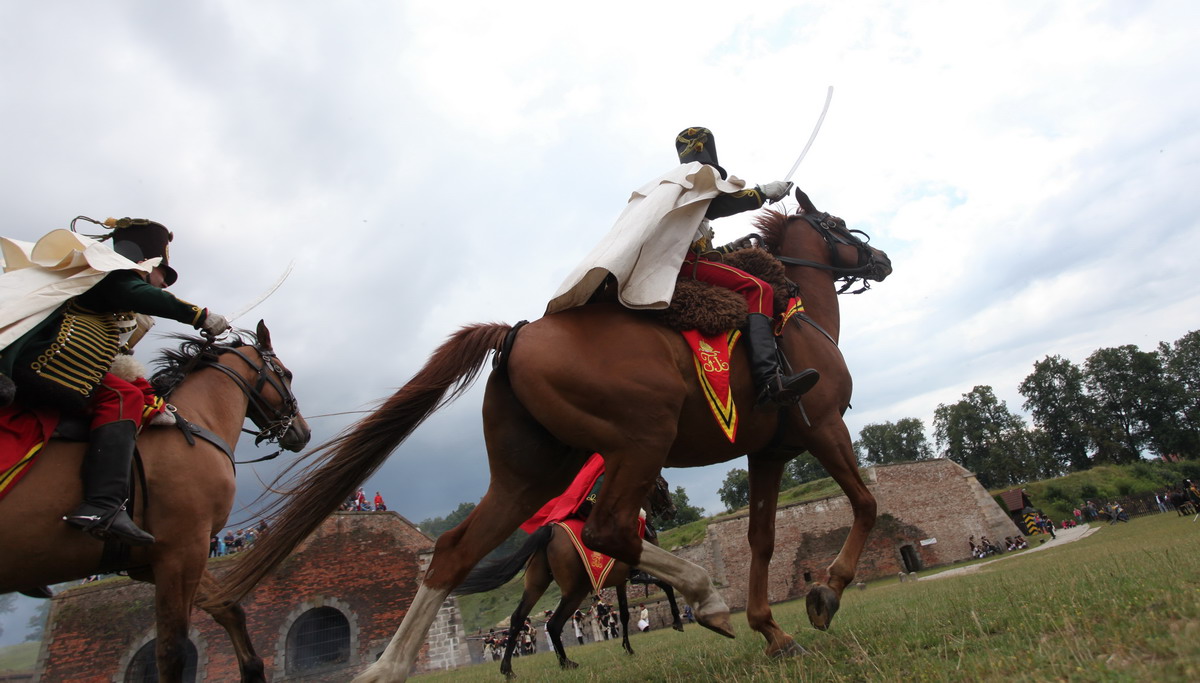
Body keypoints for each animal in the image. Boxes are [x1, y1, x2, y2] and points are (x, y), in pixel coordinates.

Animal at [1, 321, 309, 681]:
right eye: (286, 374)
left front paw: (253, 669)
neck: (195, 419)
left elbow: (228, 608)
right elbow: (172, 650)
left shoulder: (159, 559)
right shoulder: (182, 549)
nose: (303, 432)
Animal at [458, 472, 681, 676]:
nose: (673, 511)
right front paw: (677, 622)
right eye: (663, 485)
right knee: (554, 624)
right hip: (575, 590)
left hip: (536, 585)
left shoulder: (621, 581)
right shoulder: (644, 572)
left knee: (518, 618)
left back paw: (508, 669)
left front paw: (628, 648)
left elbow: (625, 614)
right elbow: (668, 586)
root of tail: (549, 530)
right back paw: (566, 663)